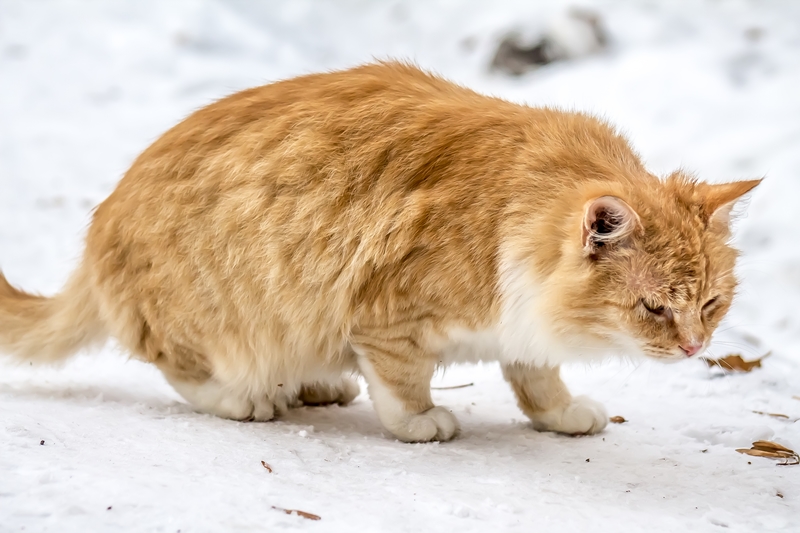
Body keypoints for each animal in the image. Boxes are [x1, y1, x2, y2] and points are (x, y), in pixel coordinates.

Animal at [0, 61, 760, 440]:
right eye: (655, 307)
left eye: (711, 304)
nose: (694, 347)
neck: (509, 214)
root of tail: (106, 218)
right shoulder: (387, 315)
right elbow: (401, 382)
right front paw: (421, 421)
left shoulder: (522, 323)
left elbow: (538, 376)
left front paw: (560, 414)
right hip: (215, 314)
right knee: (179, 365)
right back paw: (247, 397)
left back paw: (312, 384)